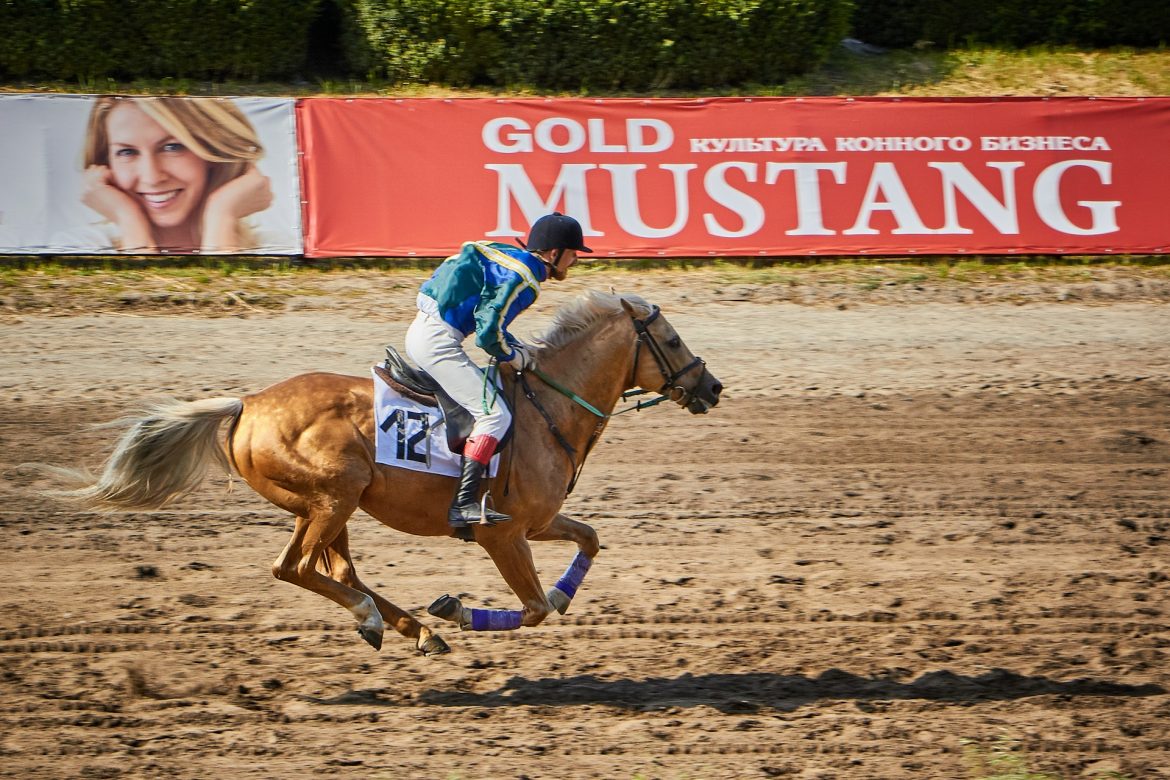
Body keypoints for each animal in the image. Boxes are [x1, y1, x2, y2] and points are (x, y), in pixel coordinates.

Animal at [47, 290, 720, 654]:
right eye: (673, 340)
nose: (712, 387)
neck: (545, 409)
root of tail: (248, 404)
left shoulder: (538, 522)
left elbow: (589, 541)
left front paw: (554, 591)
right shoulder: (502, 534)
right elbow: (531, 609)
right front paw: (458, 609)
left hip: (329, 504)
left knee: (335, 569)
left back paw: (408, 627)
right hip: (333, 496)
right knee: (295, 568)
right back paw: (386, 619)